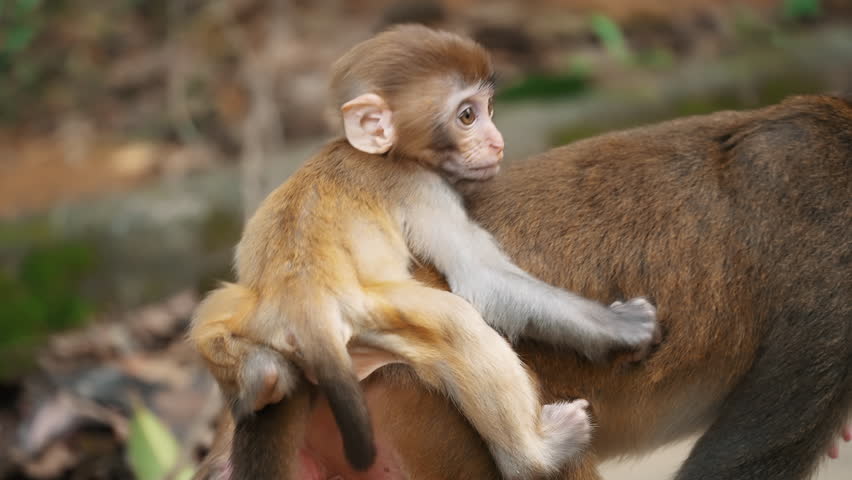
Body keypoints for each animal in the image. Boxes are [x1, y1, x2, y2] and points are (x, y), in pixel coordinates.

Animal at [189, 25, 658, 480]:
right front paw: (619, 327)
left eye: (489, 107)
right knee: (457, 323)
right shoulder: (421, 187)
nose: (497, 142)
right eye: (467, 115)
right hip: (373, 311)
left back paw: (259, 379)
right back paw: (538, 454)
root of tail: (302, 304)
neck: (379, 152)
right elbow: (482, 279)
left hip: (258, 317)